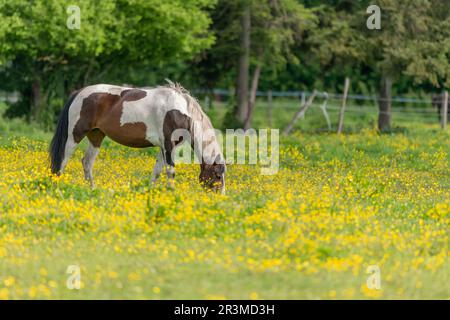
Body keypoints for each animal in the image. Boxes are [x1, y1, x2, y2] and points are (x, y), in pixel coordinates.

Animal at [50, 81, 225, 194]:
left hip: (96, 136)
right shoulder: (168, 146)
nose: (220, 197)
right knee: (62, 160)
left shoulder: (163, 147)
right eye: (217, 175)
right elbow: (170, 171)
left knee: (87, 162)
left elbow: (157, 171)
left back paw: (92, 190)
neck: (180, 111)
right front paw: (172, 193)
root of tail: (79, 93)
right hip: (75, 135)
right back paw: (59, 188)